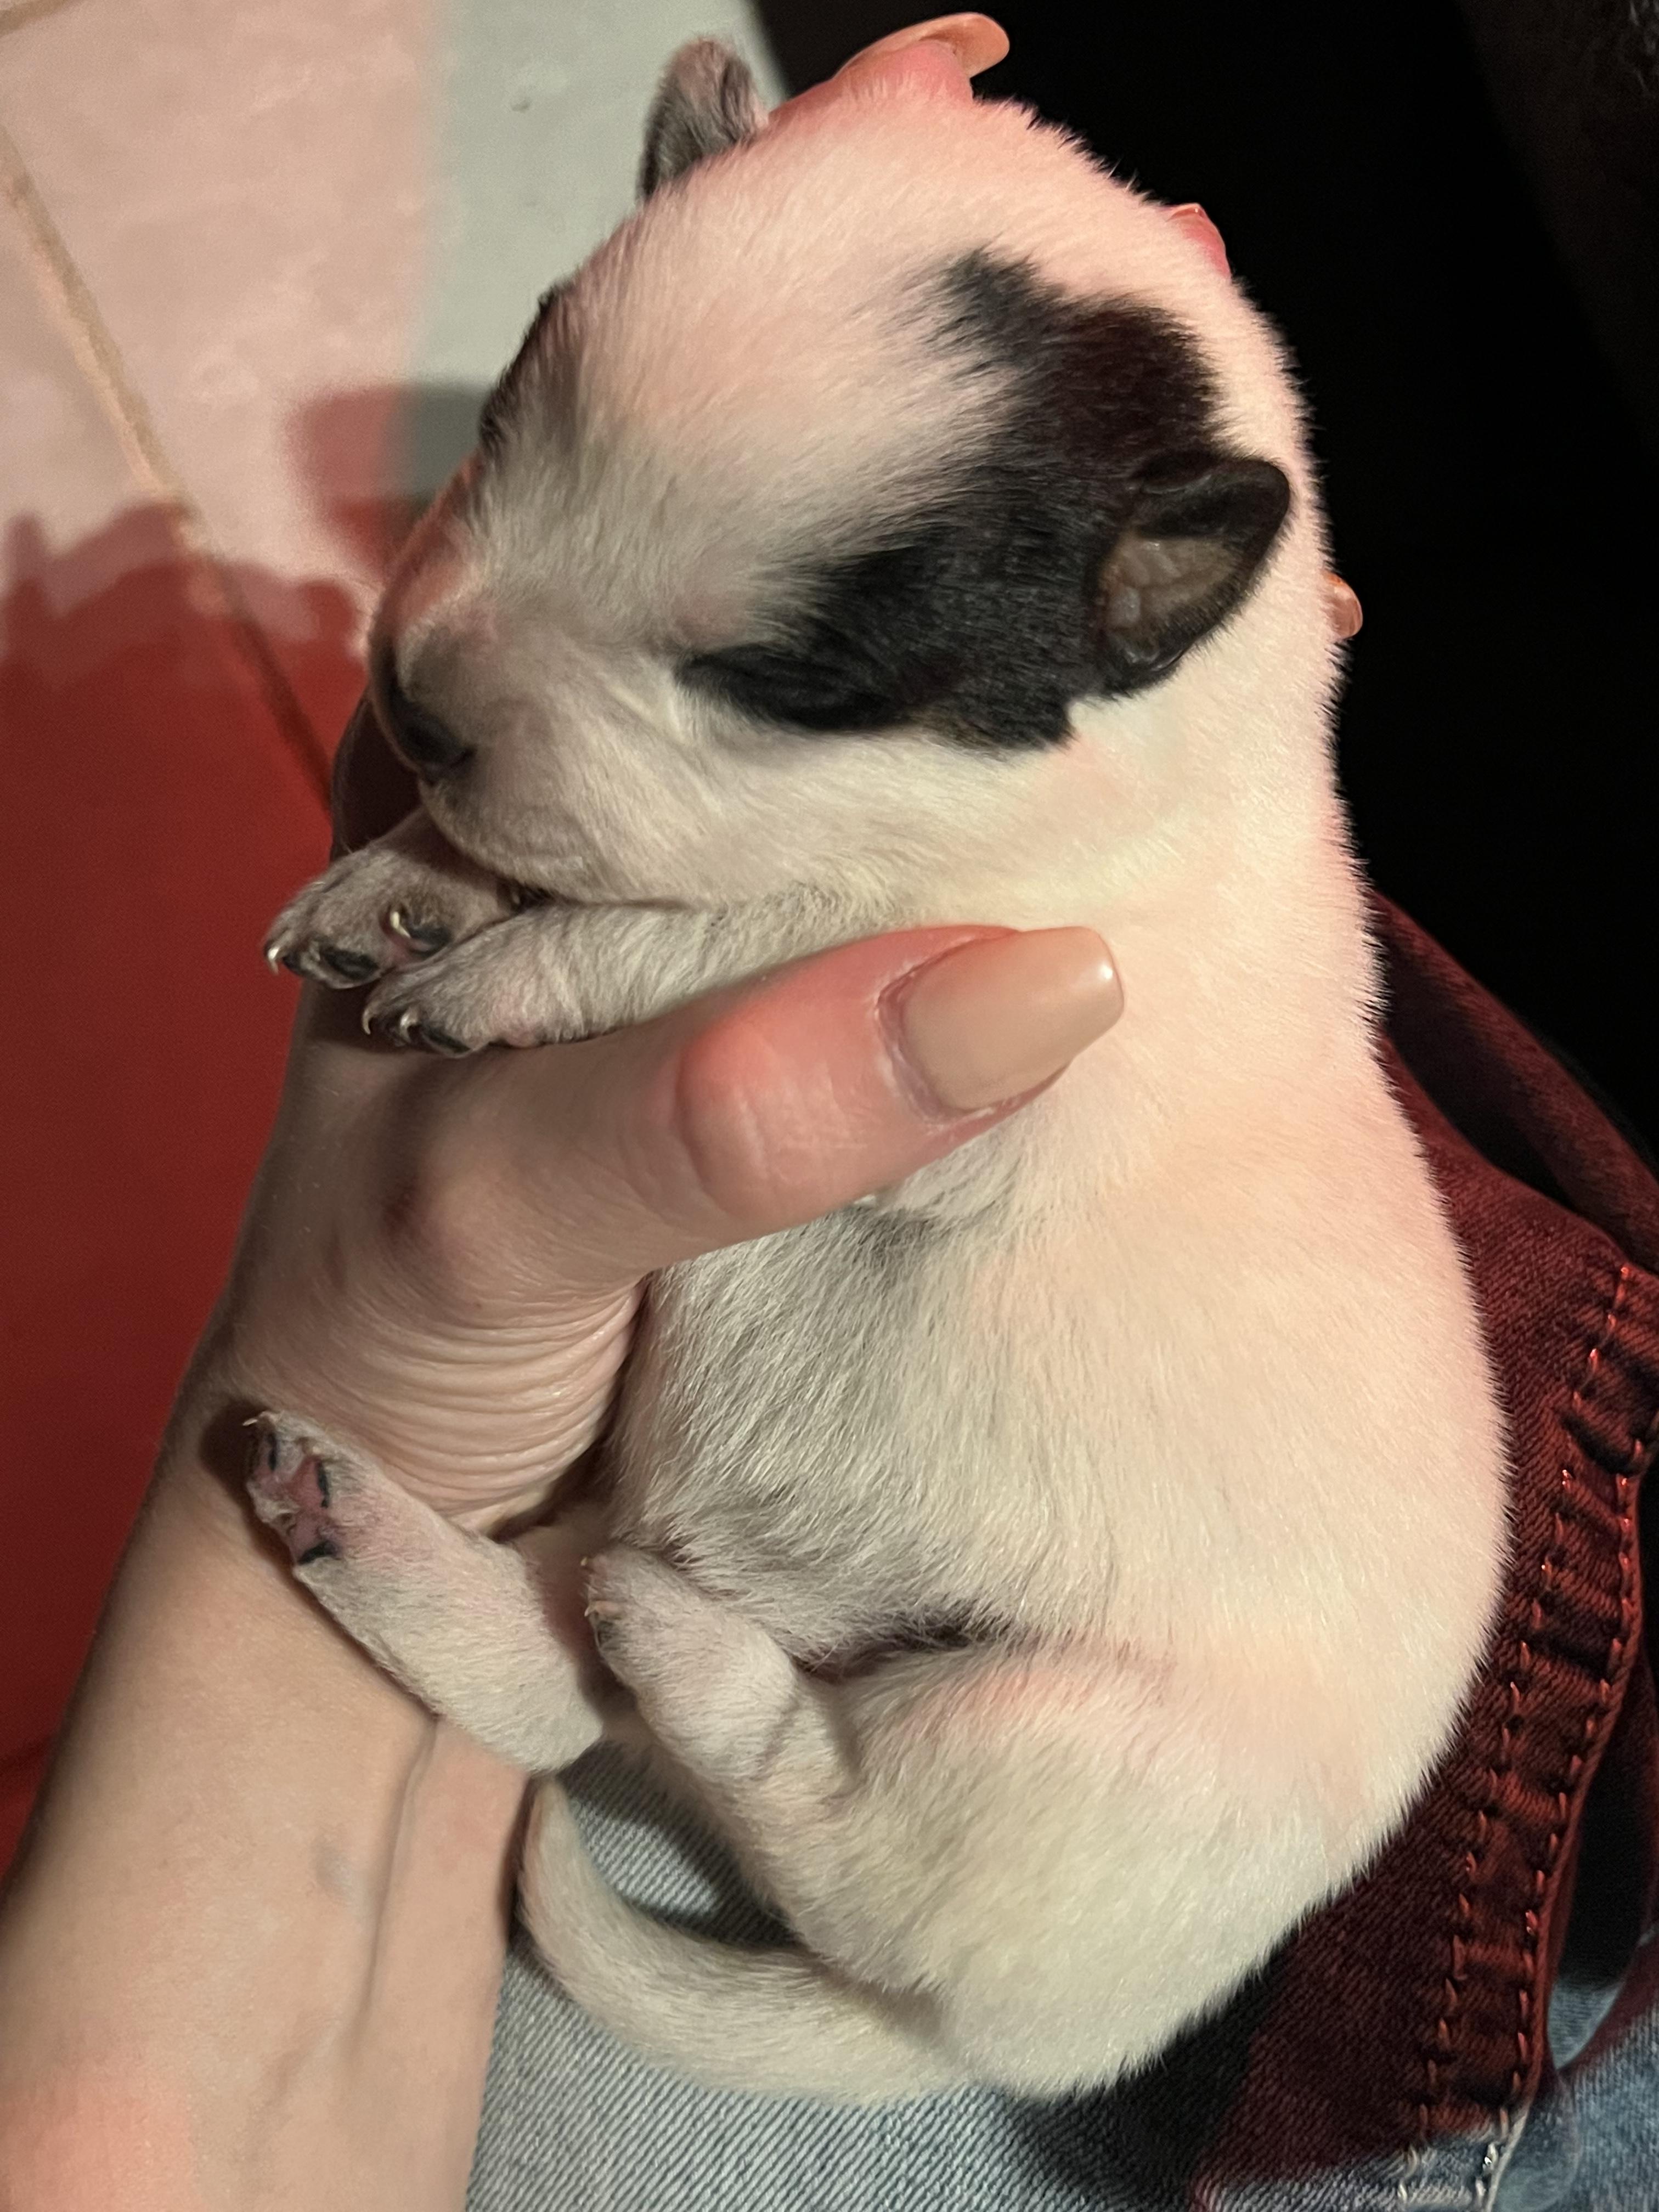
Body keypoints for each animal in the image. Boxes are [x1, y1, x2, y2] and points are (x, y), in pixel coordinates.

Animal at [250, 37, 1507, 2102]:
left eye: (784, 679)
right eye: (503, 413)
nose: (413, 713)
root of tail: (967, 2038)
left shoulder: (978, 974)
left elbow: (711, 924)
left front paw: (496, 969)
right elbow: (602, 867)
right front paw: (400, 886)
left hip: (1049, 1753)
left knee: (811, 1806)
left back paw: (691, 1659)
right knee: (555, 1696)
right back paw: (363, 1529)